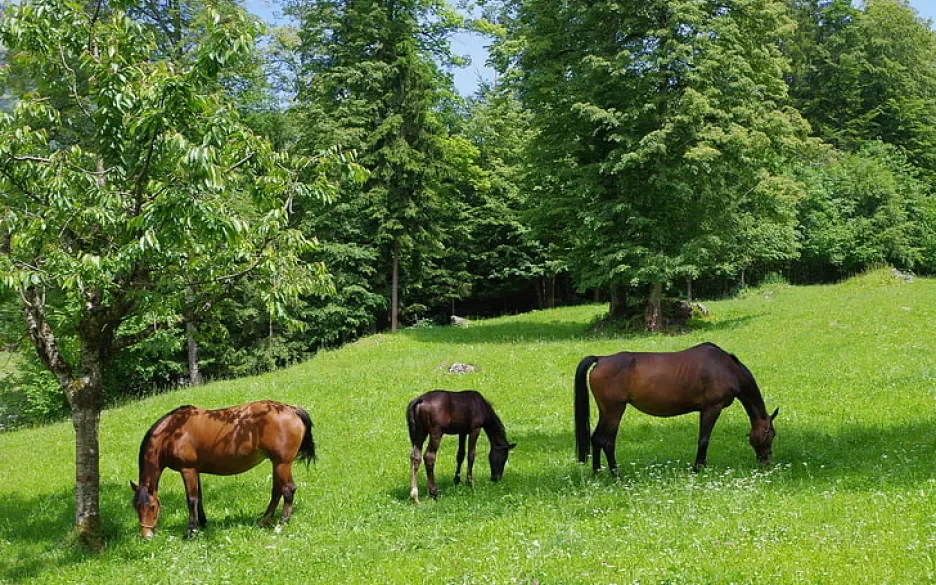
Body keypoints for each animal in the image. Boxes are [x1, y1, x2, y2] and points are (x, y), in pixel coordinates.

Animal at [130, 400, 316, 536]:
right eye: (136, 507)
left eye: (152, 507)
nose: (146, 535)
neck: (172, 432)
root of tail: (291, 409)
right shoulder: (196, 470)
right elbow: (199, 498)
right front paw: (202, 524)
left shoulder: (187, 469)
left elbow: (191, 499)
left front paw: (191, 530)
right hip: (276, 464)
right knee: (277, 491)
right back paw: (264, 521)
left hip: (282, 464)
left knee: (288, 490)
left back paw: (281, 524)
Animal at [576, 342, 780, 474]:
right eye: (771, 434)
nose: (767, 462)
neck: (727, 368)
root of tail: (601, 359)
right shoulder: (712, 408)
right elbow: (704, 440)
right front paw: (698, 469)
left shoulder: (705, 410)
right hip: (614, 411)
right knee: (607, 441)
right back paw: (615, 474)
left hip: (605, 411)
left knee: (596, 439)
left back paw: (597, 472)